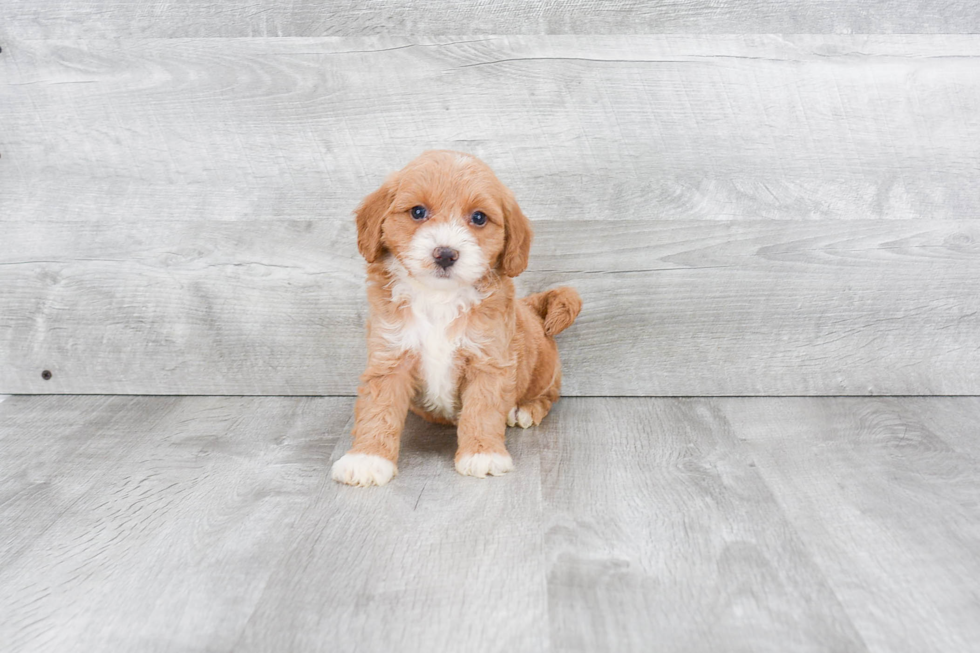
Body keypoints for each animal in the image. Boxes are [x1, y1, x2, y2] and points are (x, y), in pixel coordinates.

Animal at [334, 150, 580, 486]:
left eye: (478, 218)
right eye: (418, 212)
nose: (446, 254)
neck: (439, 297)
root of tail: (530, 307)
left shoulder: (488, 361)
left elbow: (482, 409)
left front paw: (482, 454)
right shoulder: (390, 356)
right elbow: (378, 408)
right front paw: (367, 458)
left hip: (544, 370)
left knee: (550, 394)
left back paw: (526, 409)